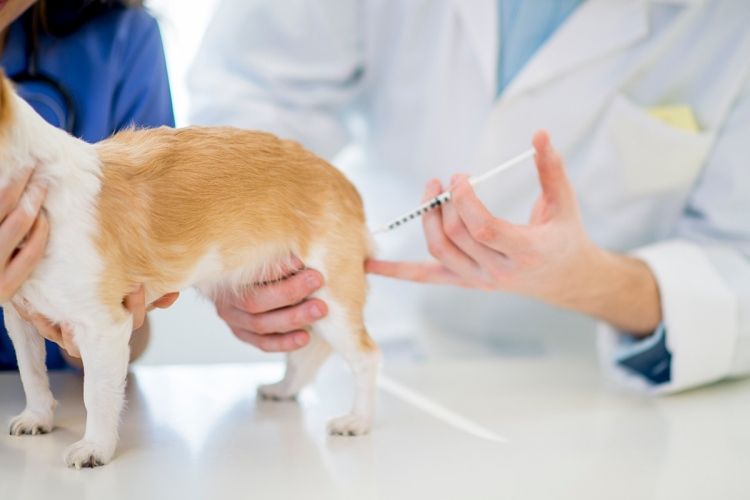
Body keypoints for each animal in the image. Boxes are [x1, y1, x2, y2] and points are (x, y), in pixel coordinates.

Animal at [0, 75, 378, 468]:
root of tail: (342, 182)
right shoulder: (19, 319)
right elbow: (32, 374)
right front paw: (38, 416)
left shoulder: (104, 327)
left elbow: (97, 394)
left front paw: (96, 447)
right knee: (308, 350)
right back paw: (285, 389)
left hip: (331, 296)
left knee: (366, 356)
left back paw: (359, 419)